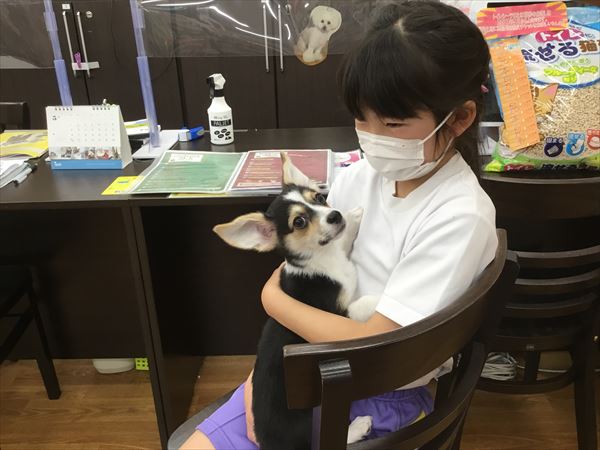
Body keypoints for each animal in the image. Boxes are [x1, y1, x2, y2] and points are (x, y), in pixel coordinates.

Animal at [213, 153, 378, 449]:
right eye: (299, 222)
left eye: (319, 198)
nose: (335, 215)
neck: (322, 260)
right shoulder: (338, 312)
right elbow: (363, 304)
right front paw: (380, 299)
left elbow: (342, 239)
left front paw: (353, 218)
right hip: (306, 416)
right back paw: (358, 427)